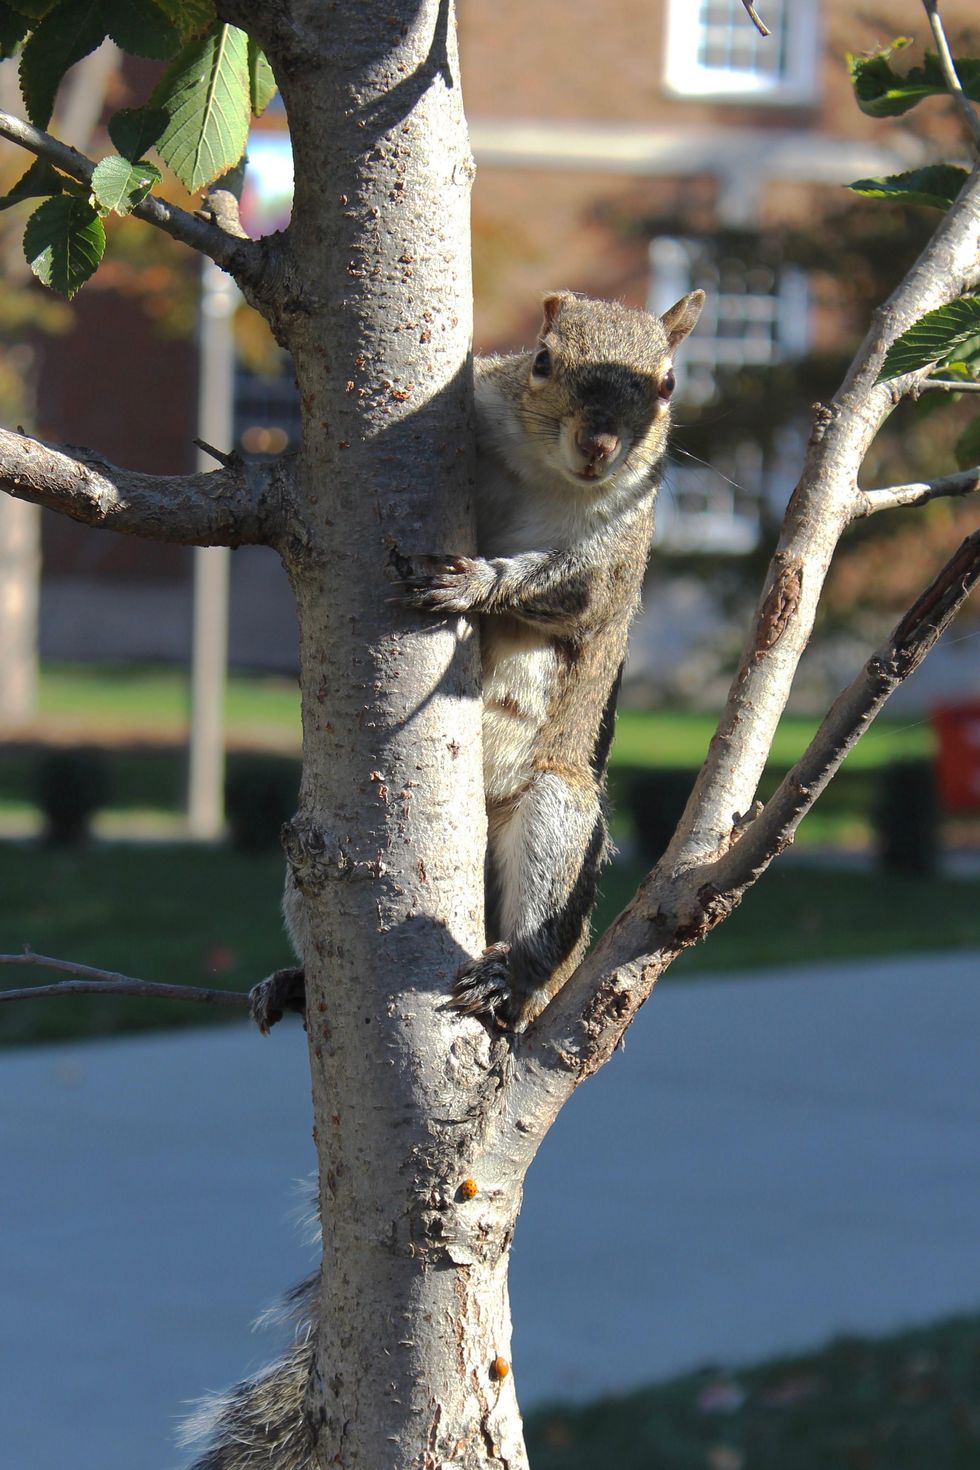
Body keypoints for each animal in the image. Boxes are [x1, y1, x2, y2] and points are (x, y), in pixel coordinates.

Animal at [190, 291, 703, 1467]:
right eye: (545, 360)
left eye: (662, 387)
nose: (601, 444)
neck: (556, 483)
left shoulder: (613, 553)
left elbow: (563, 593)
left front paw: (477, 581)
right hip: (304, 872)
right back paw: (293, 985)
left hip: (557, 821)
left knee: (548, 932)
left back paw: (511, 979)